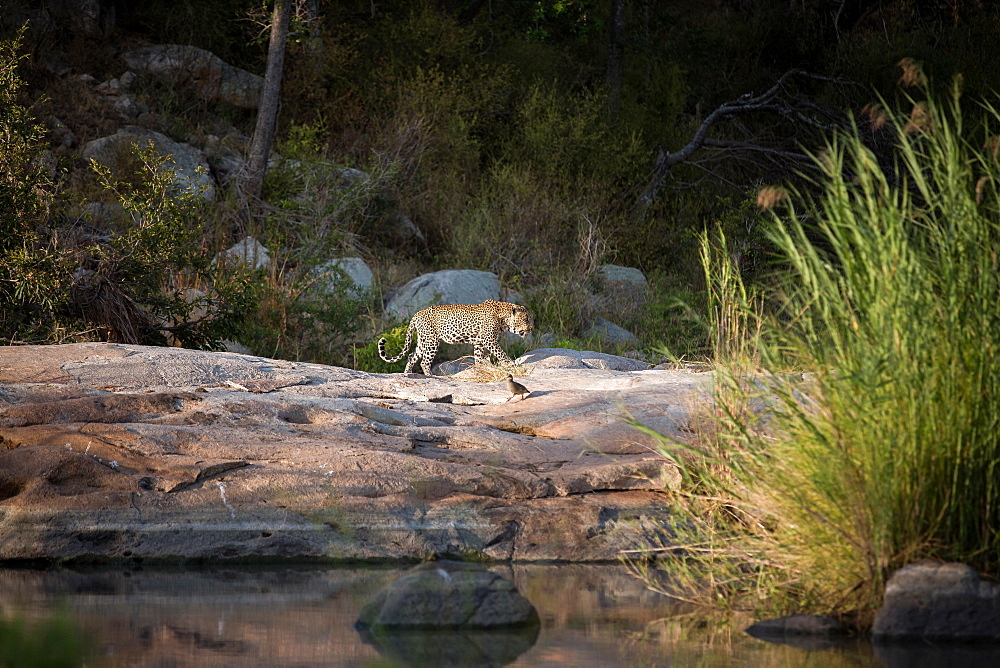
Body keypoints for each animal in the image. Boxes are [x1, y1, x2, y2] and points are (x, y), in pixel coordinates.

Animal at [376, 298, 532, 374]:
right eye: (526, 319)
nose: (531, 329)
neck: (503, 318)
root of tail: (416, 314)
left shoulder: (479, 342)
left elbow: (479, 358)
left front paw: (480, 369)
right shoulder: (489, 340)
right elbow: (501, 353)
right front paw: (511, 364)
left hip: (423, 340)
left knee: (411, 356)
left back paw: (407, 374)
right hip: (432, 341)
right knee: (424, 362)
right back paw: (432, 377)